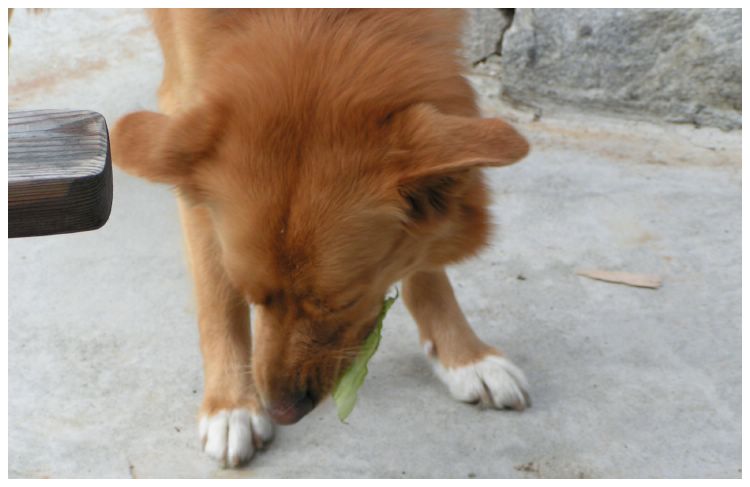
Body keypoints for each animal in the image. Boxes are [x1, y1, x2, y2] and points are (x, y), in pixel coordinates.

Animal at [111, 8, 532, 468]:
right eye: (252, 295)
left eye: (344, 302)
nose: (282, 411)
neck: (312, 19)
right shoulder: (185, 104)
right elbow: (216, 291)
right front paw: (231, 405)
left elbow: (424, 256)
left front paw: (464, 356)